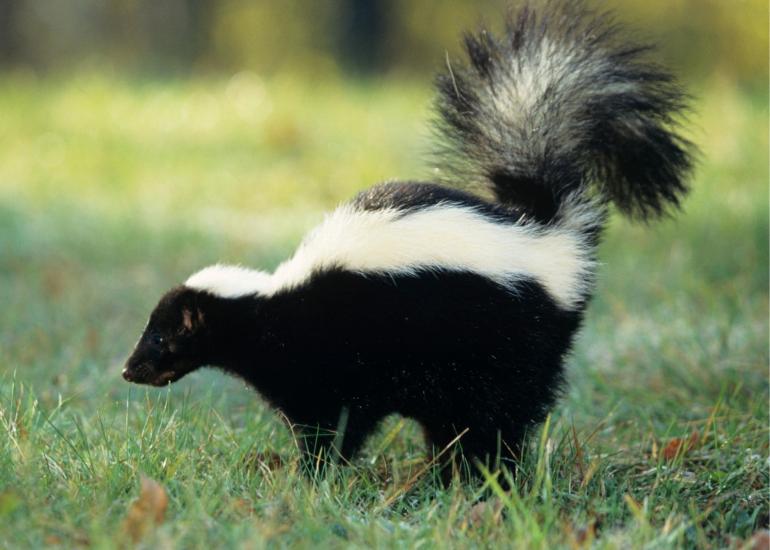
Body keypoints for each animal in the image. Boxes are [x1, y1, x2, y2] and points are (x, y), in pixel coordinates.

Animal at [121, 0, 688, 480]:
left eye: (161, 337)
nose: (129, 370)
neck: (270, 304)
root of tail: (545, 231)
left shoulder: (328, 363)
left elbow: (334, 424)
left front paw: (315, 475)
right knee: (459, 422)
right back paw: (449, 470)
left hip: (503, 347)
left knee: (499, 416)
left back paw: (486, 475)